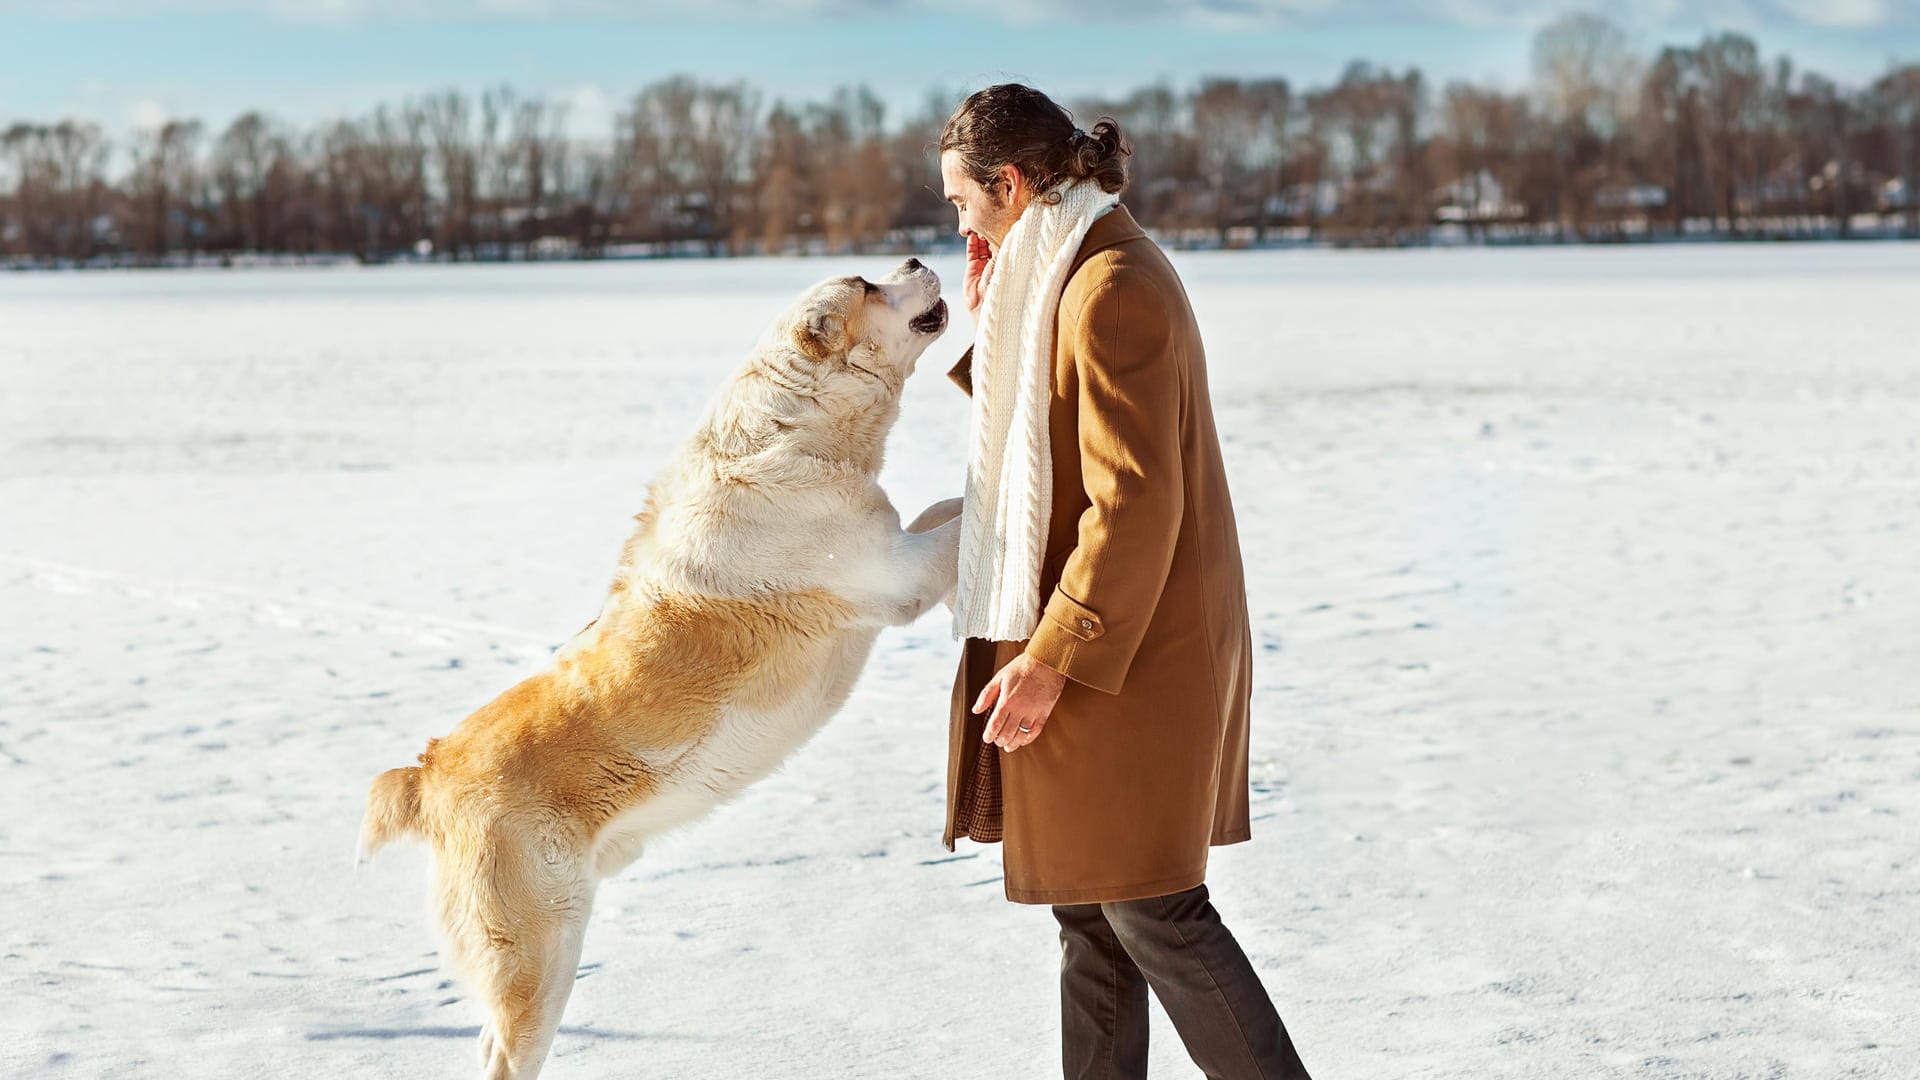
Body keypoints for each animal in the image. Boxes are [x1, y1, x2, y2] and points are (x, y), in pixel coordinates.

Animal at [360, 261, 960, 1076]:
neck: (793, 432)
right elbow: (959, 520)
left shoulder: (896, 546)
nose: (915, 262)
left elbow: (942, 508)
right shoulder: (897, 576)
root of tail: (429, 773)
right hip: (541, 955)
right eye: (867, 284)